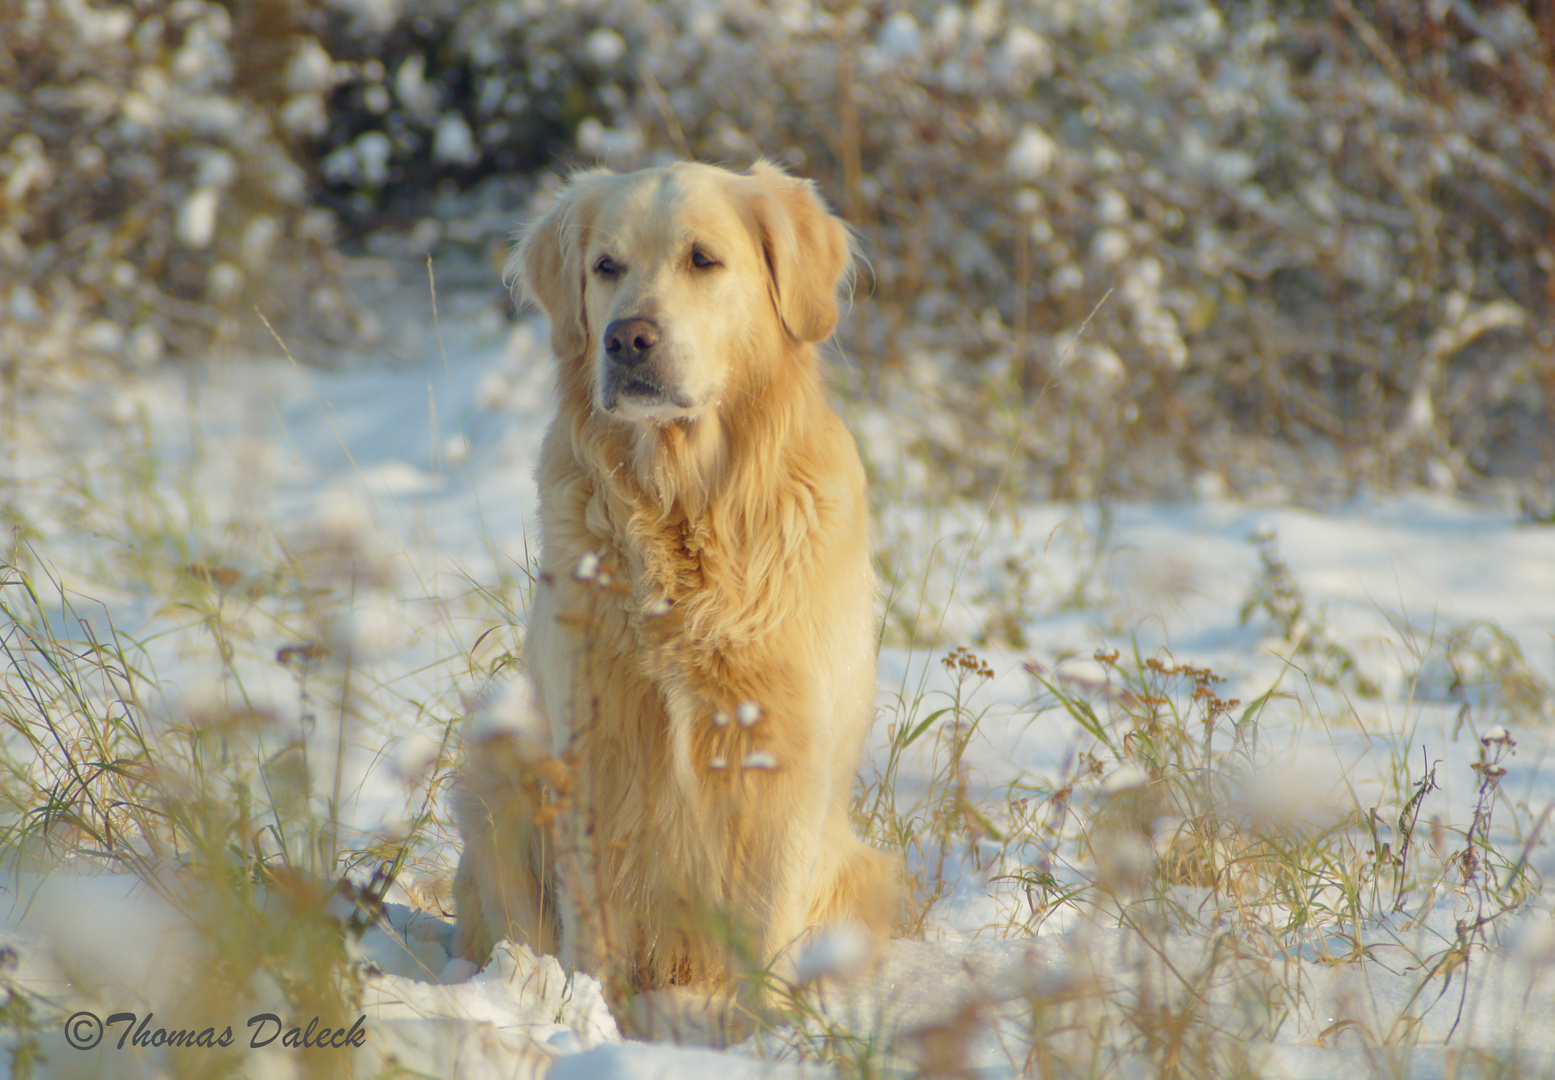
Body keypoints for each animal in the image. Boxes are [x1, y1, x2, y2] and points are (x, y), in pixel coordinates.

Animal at [450, 162, 901, 1013]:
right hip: (498, 769)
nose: (626, 338)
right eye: (606, 267)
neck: (683, 507)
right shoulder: (591, 746)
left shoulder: (784, 757)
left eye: (703, 260)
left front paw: (766, 1031)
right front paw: (585, 1014)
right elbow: (591, 926)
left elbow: (766, 929)